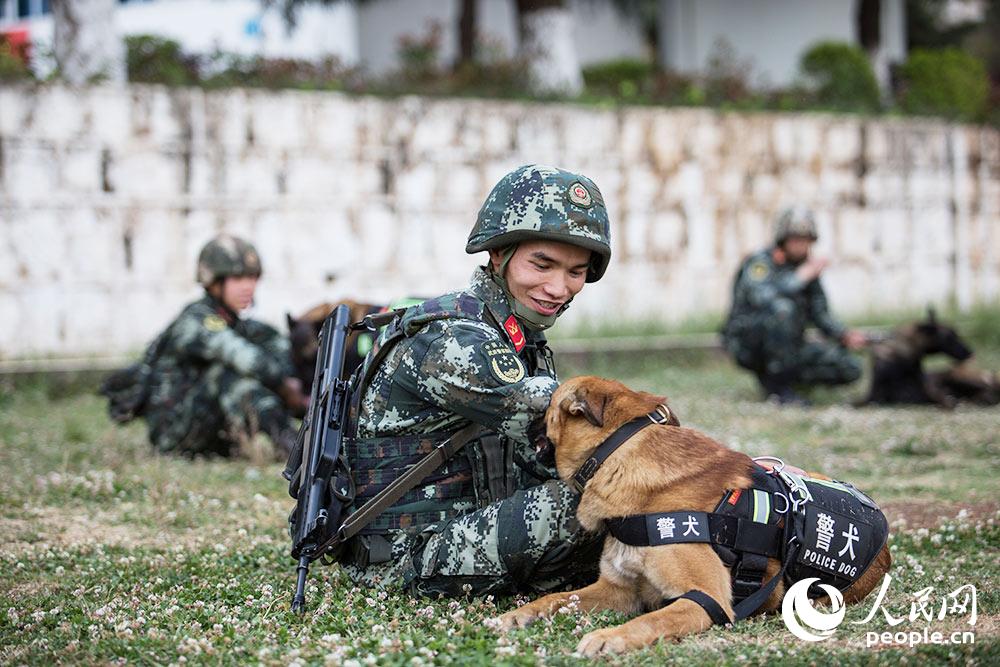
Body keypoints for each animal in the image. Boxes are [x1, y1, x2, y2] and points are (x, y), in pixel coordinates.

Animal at [496, 378, 896, 656]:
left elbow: (650, 618)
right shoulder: (618, 590)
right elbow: (557, 598)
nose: (515, 418)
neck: (618, 453)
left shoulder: (707, 598)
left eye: (545, 408)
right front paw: (520, 613)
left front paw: (608, 637)